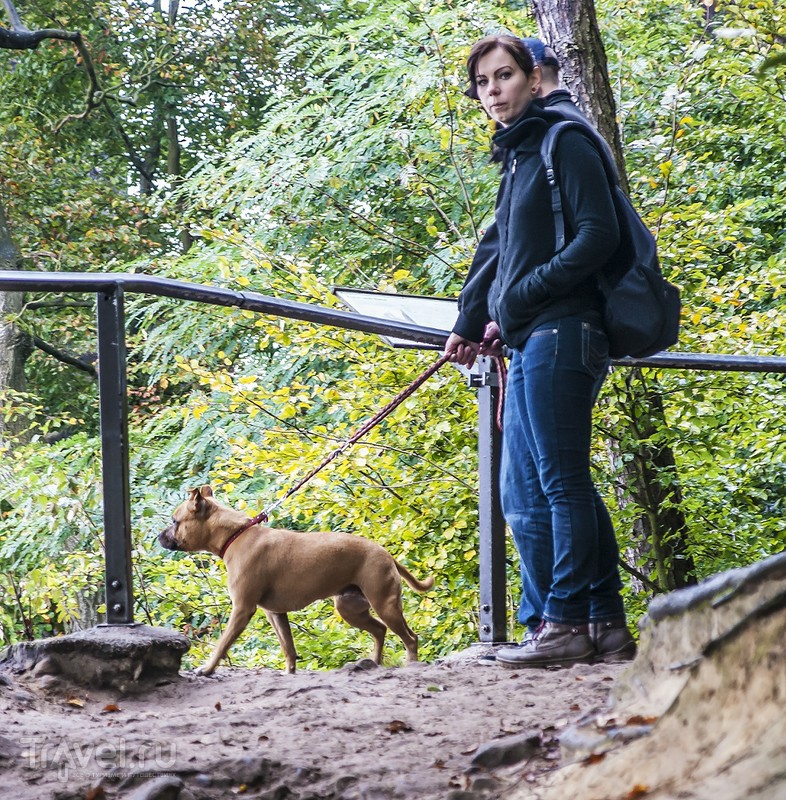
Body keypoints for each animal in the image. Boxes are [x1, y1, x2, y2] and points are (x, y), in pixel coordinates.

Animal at [155, 484, 432, 672]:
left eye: (175, 521)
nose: (158, 537)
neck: (236, 534)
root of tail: (386, 554)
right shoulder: (275, 613)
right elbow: (288, 649)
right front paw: (289, 673)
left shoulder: (242, 609)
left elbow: (222, 644)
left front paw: (208, 668)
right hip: (350, 608)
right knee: (379, 630)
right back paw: (373, 663)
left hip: (384, 605)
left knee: (410, 638)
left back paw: (410, 664)